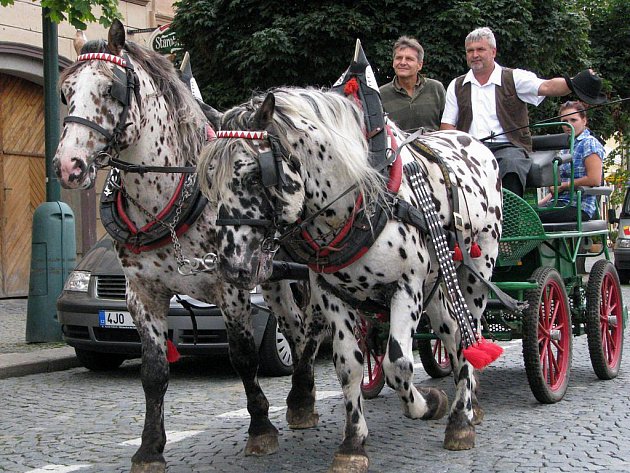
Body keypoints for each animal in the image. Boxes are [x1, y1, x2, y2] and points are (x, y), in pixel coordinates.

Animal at [53, 19, 326, 472]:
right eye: (66, 91)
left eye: (111, 89)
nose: (68, 165)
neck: (172, 200)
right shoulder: (143, 294)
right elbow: (153, 372)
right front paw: (150, 448)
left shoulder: (231, 287)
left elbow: (243, 356)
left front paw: (260, 429)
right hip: (275, 279)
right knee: (297, 329)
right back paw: (301, 398)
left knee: (314, 328)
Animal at [198, 72, 508, 466]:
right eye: (209, 182)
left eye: (254, 176)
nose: (233, 267)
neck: (358, 198)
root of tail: (473, 142)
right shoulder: (334, 296)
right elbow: (348, 367)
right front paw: (353, 443)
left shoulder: (407, 287)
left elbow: (397, 363)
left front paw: (429, 404)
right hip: (439, 283)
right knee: (452, 332)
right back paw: (464, 406)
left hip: (476, 271)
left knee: (470, 332)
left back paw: (462, 418)